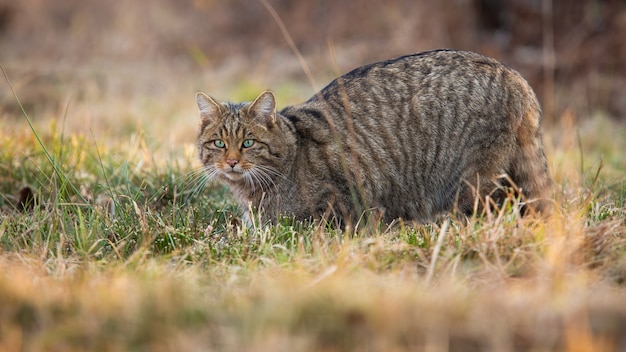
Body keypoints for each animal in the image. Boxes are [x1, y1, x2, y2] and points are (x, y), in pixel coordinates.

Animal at [194, 48, 544, 226]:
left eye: (248, 143)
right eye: (219, 143)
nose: (231, 162)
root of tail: (510, 72)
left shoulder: (339, 205)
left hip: (472, 180)